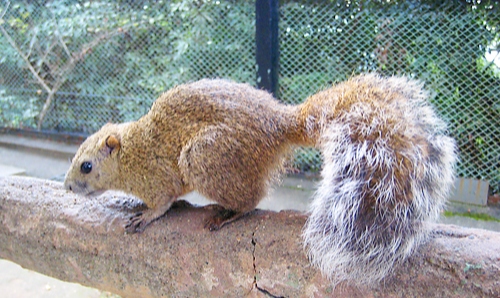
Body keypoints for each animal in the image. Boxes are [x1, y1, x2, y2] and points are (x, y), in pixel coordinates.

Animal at [63, 73, 458, 286]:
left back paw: (228, 213)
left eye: (86, 166)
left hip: (203, 157)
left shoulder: (158, 176)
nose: (67, 186)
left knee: (251, 199)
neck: (132, 154)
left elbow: (162, 202)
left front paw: (146, 214)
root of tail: (278, 125)